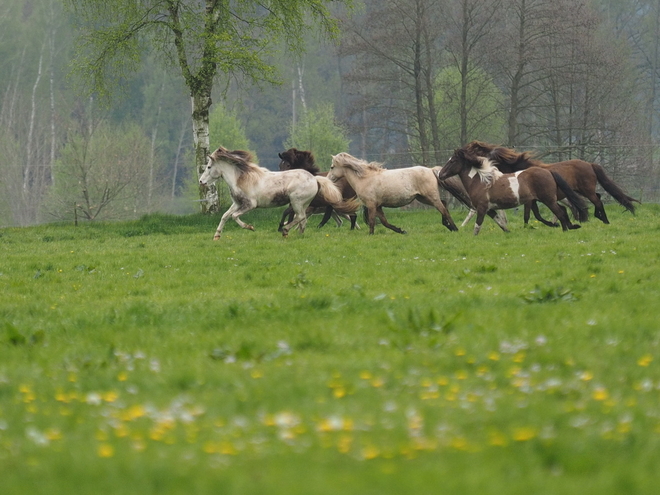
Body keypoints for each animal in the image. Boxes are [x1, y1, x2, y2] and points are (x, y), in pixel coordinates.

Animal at [200, 145, 358, 240]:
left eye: (209, 167)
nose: (201, 181)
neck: (242, 178)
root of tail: (315, 178)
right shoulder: (237, 204)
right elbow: (225, 216)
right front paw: (216, 236)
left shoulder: (249, 205)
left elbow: (234, 216)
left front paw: (250, 227)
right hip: (303, 204)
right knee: (302, 220)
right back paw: (298, 235)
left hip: (297, 202)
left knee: (300, 217)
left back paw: (285, 230)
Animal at [328, 152, 466, 235]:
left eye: (332, 167)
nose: (329, 179)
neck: (365, 178)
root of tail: (431, 170)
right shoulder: (378, 206)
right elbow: (385, 222)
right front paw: (401, 231)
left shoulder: (371, 205)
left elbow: (372, 221)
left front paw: (370, 234)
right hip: (423, 198)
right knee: (444, 204)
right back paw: (448, 226)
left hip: (430, 197)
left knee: (443, 209)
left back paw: (454, 228)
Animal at [438, 147, 588, 236]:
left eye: (452, 161)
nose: (440, 174)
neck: (480, 181)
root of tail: (548, 171)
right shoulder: (490, 209)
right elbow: (500, 222)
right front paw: (508, 232)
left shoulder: (482, 208)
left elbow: (477, 226)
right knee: (562, 210)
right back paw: (570, 226)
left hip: (548, 200)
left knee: (560, 212)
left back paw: (565, 230)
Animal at [464, 140, 640, 225]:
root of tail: (590, 164)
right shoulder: (532, 199)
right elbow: (531, 214)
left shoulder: (531, 199)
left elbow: (530, 214)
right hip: (582, 190)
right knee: (597, 197)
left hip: (586, 190)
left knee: (597, 201)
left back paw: (604, 220)